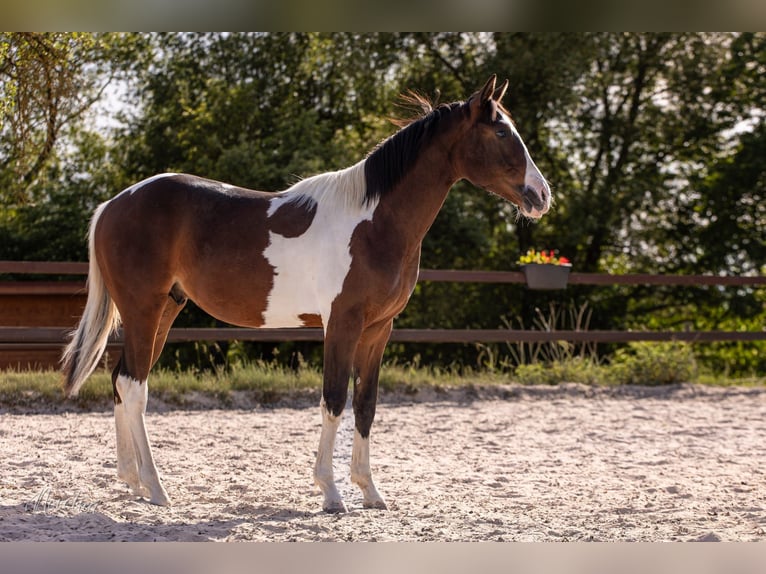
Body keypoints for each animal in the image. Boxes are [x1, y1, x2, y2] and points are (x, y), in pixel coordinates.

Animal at [61, 75, 551, 513]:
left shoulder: (378, 329)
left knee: (122, 380)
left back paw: (132, 482)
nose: (541, 195)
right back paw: (157, 488)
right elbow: (333, 399)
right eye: (502, 131)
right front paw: (331, 493)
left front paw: (370, 491)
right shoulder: (342, 324)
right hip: (144, 310)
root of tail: (113, 204)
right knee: (134, 386)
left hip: (164, 310)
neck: (374, 224)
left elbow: (366, 405)